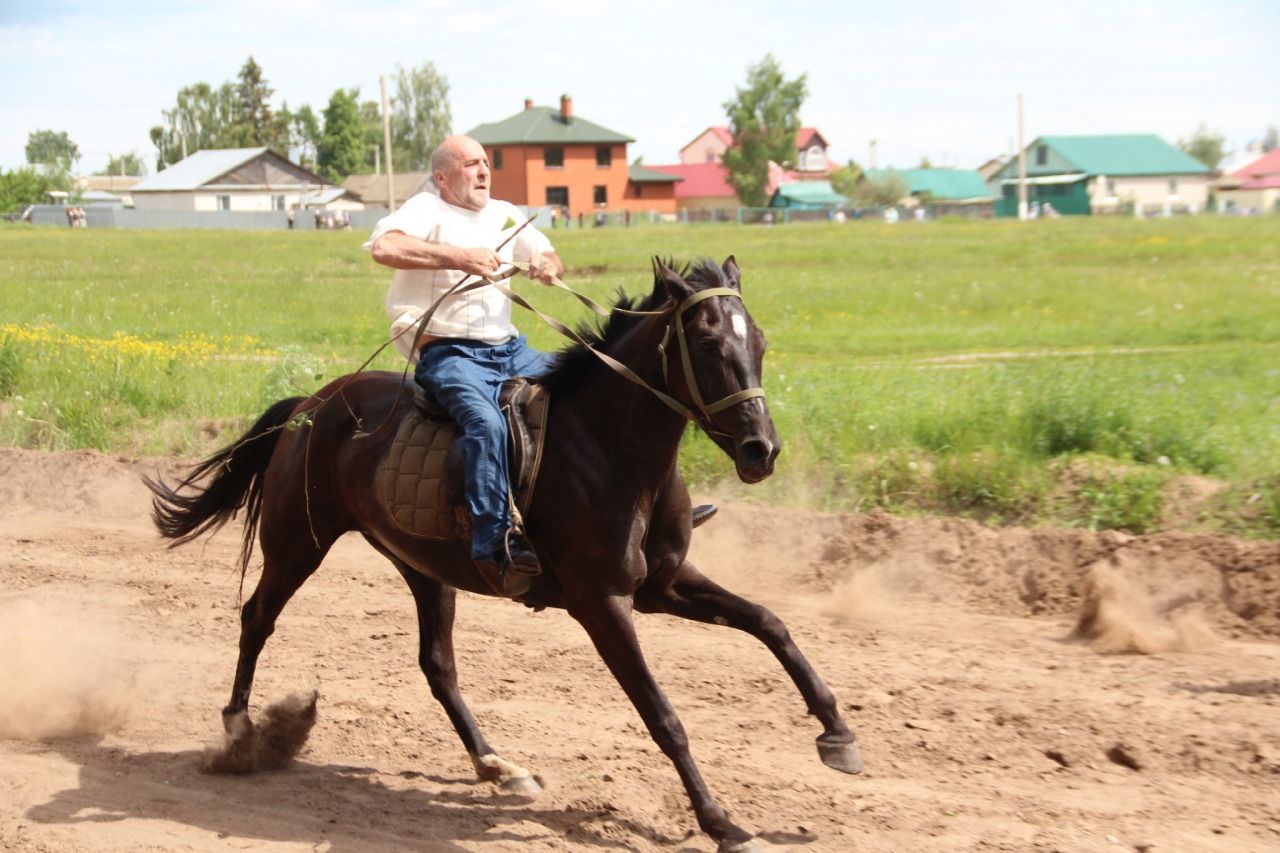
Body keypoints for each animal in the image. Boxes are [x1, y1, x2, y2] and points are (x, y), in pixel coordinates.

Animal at [152, 256, 870, 845]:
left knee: (437, 665)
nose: (761, 450)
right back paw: (240, 733)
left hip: (422, 568)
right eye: (708, 341)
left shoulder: (663, 585)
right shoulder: (602, 602)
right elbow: (663, 714)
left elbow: (769, 623)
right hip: (298, 542)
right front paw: (721, 822)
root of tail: (316, 400)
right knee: (256, 618)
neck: (610, 448)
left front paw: (837, 734)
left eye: (761, 342)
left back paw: (497, 764)